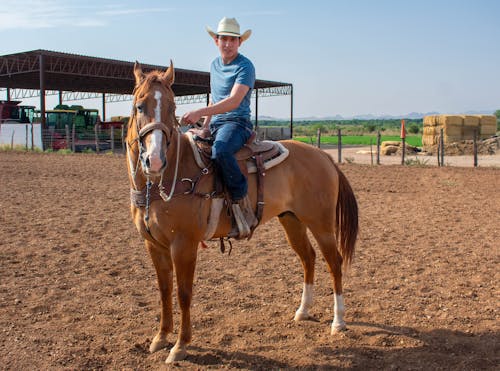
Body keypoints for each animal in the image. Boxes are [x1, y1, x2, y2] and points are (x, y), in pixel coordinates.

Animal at [127, 61, 358, 364]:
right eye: (139, 106)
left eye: (172, 107)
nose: (154, 160)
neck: (164, 181)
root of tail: (324, 156)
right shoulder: (153, 244)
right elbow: (164, 290)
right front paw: (161, 337)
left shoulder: (184, 244)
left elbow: (183, 293)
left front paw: (180, 346)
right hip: (292, 220)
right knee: (308, 258)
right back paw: (303, 311)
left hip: (321, 223)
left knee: (334, 262)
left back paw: (338, 321)